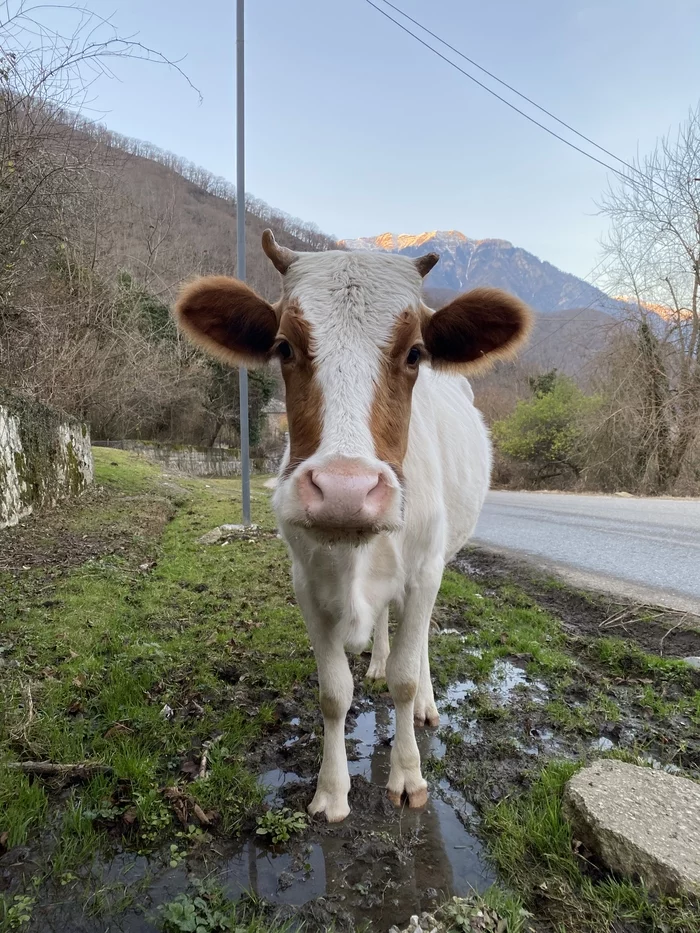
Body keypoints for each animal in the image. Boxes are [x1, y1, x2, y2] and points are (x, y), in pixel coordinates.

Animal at [176, 231, 532, 824]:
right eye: (284, 347)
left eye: (415, 353)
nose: (345, 491)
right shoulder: (306, 583)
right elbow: (333, 692)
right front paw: (332, 788)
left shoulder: (425, 571)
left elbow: (406, 678)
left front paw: (408, 776)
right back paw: (378, 662)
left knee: (418, 645)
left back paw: (425, 702)